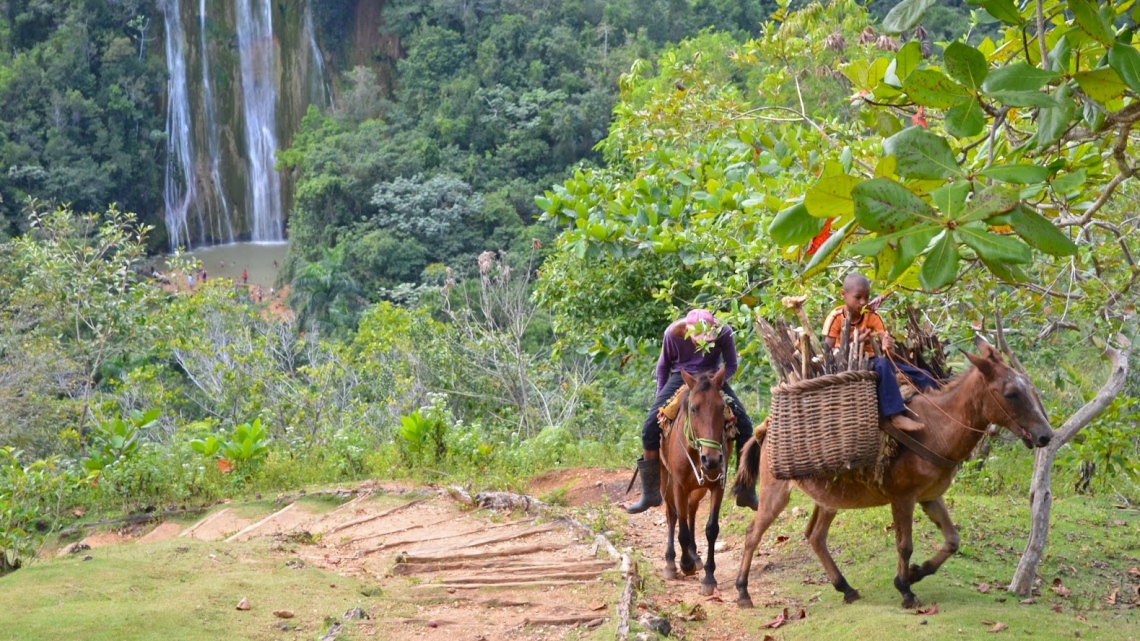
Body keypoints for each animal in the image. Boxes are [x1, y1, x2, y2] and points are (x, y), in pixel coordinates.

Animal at [661, 364, 729, 593]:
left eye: (721, 408)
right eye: (694, 409)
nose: (712, 459)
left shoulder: (718, 485)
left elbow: (711, 529)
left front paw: (709, 577)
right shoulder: (678, 486)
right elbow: (680, 528)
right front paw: (685, 565)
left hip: (698, 488)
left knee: (692, 509)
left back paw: (694, 554)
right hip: (666, 482)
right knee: (672, 515)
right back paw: (671, 563)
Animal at [734, 337, 1053, 606]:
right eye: (1011, 393)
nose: (1046, 436)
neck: (937, 428)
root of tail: (765, 429)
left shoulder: (929, 496)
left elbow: (952, 541)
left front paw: (916, 573)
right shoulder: (903, 496)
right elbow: (904, 545)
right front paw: (905, 588)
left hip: (829, 497)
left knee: (815, 536)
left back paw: (845, 588)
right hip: (775, 491)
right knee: (752, 533)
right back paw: (742, 592)